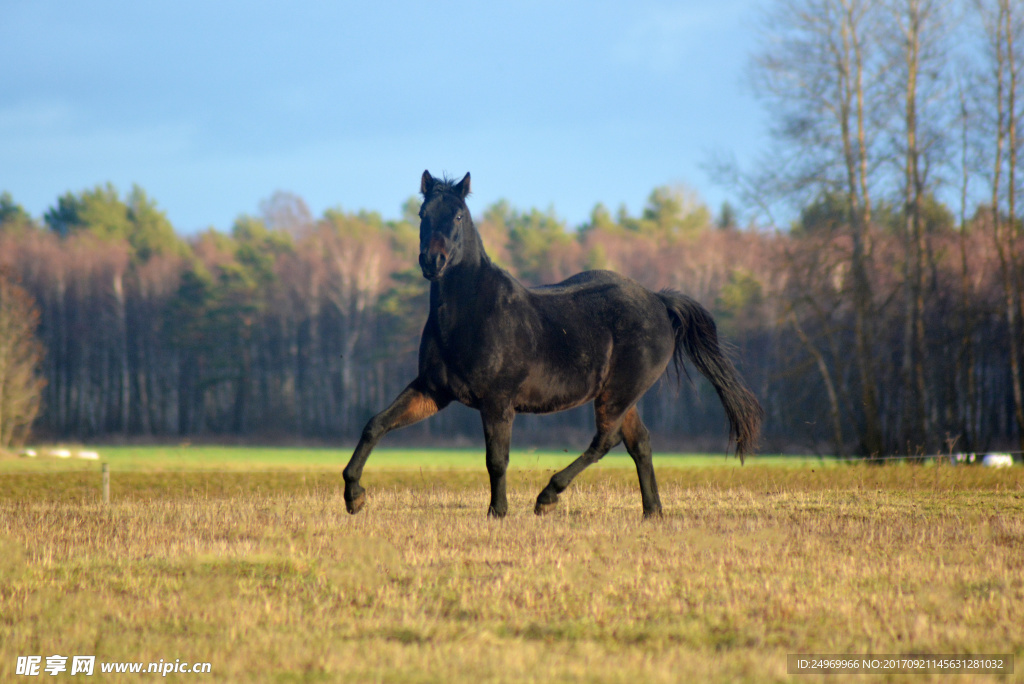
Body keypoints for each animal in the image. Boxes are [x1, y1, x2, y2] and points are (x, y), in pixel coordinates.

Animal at [344, 172, 761, 518]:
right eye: (422, 213)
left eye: (459, 216)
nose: (433, 261)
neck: (471, 313)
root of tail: (658, 301)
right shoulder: (433, 390)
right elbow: (375, 424)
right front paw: (353, 495)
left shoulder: (497, 401)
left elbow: (496, 459)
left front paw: (498, 511)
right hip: (622, 395)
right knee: (638, 443)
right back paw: (652, 512)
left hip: (617, 392)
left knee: (605, 441)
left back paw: (547, 497)